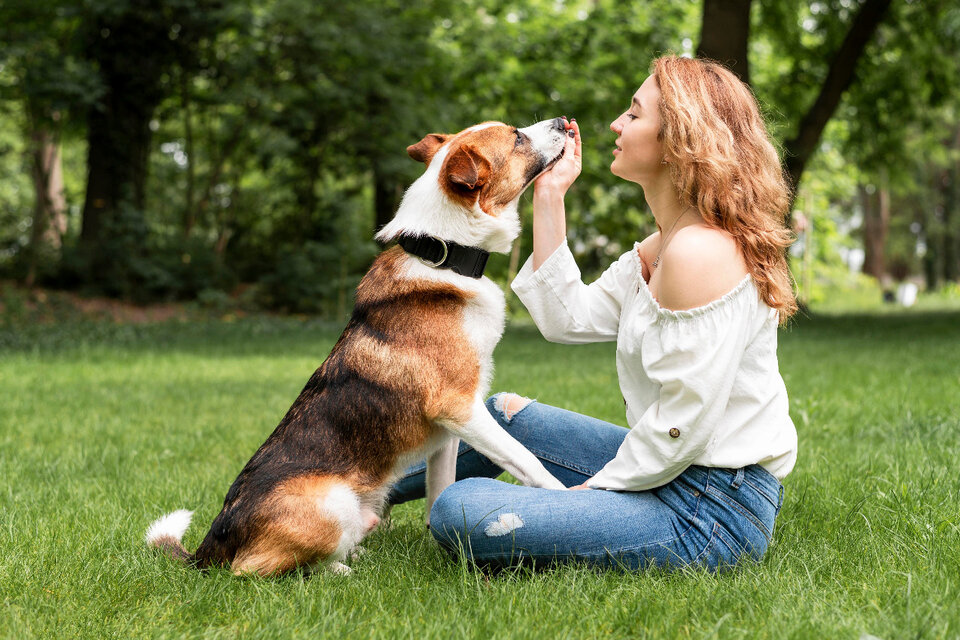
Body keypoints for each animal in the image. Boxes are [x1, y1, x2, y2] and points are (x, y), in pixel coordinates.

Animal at [146, 117, 572, 576]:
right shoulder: (460, 407)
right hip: (330, 503)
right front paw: (573, 495)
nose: (562, 122)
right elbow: (527, 461)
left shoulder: (449, 432)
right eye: (516, 137)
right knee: (252, 570)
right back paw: (339, 572)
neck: (444, 255)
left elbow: (441, 492)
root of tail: (212, 544)